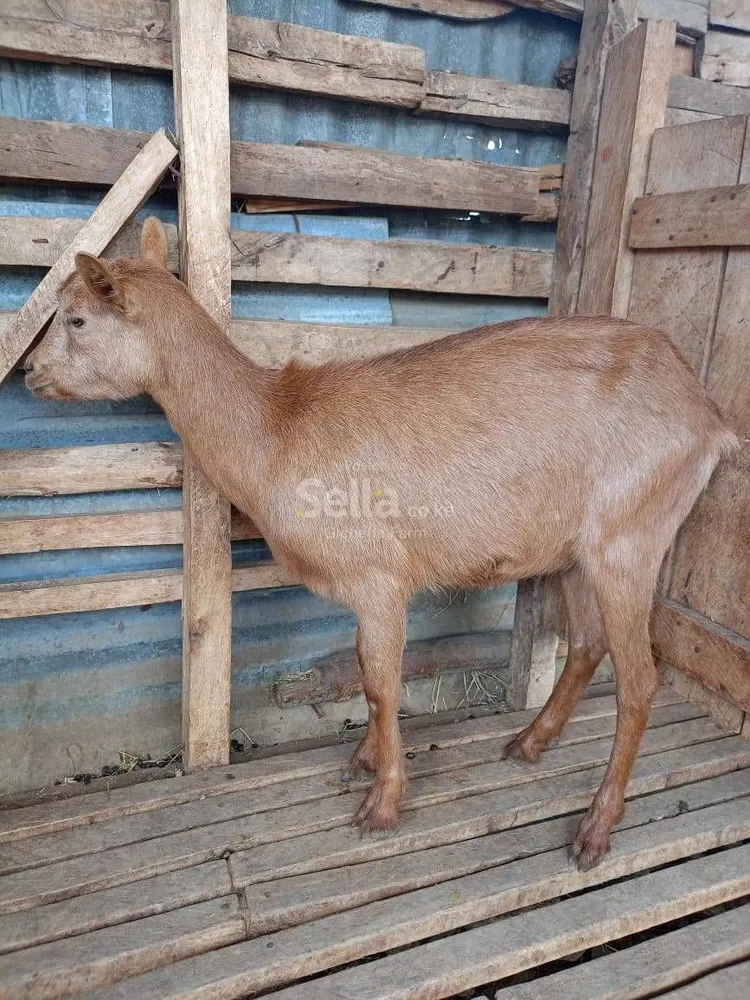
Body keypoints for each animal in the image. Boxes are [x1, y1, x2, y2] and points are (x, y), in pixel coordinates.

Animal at [24, 217, 737, 870]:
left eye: (77, 319)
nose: (29, 372)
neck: (275, 429)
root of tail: (707, 418)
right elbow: (369, 675)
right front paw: (365, 760)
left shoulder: (380, 577)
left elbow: (379, 684)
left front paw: (382, 802)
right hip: (572, 548)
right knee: (587, 643)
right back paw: (529, 745)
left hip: (631, 536)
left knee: (640, 681)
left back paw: (594, 831)